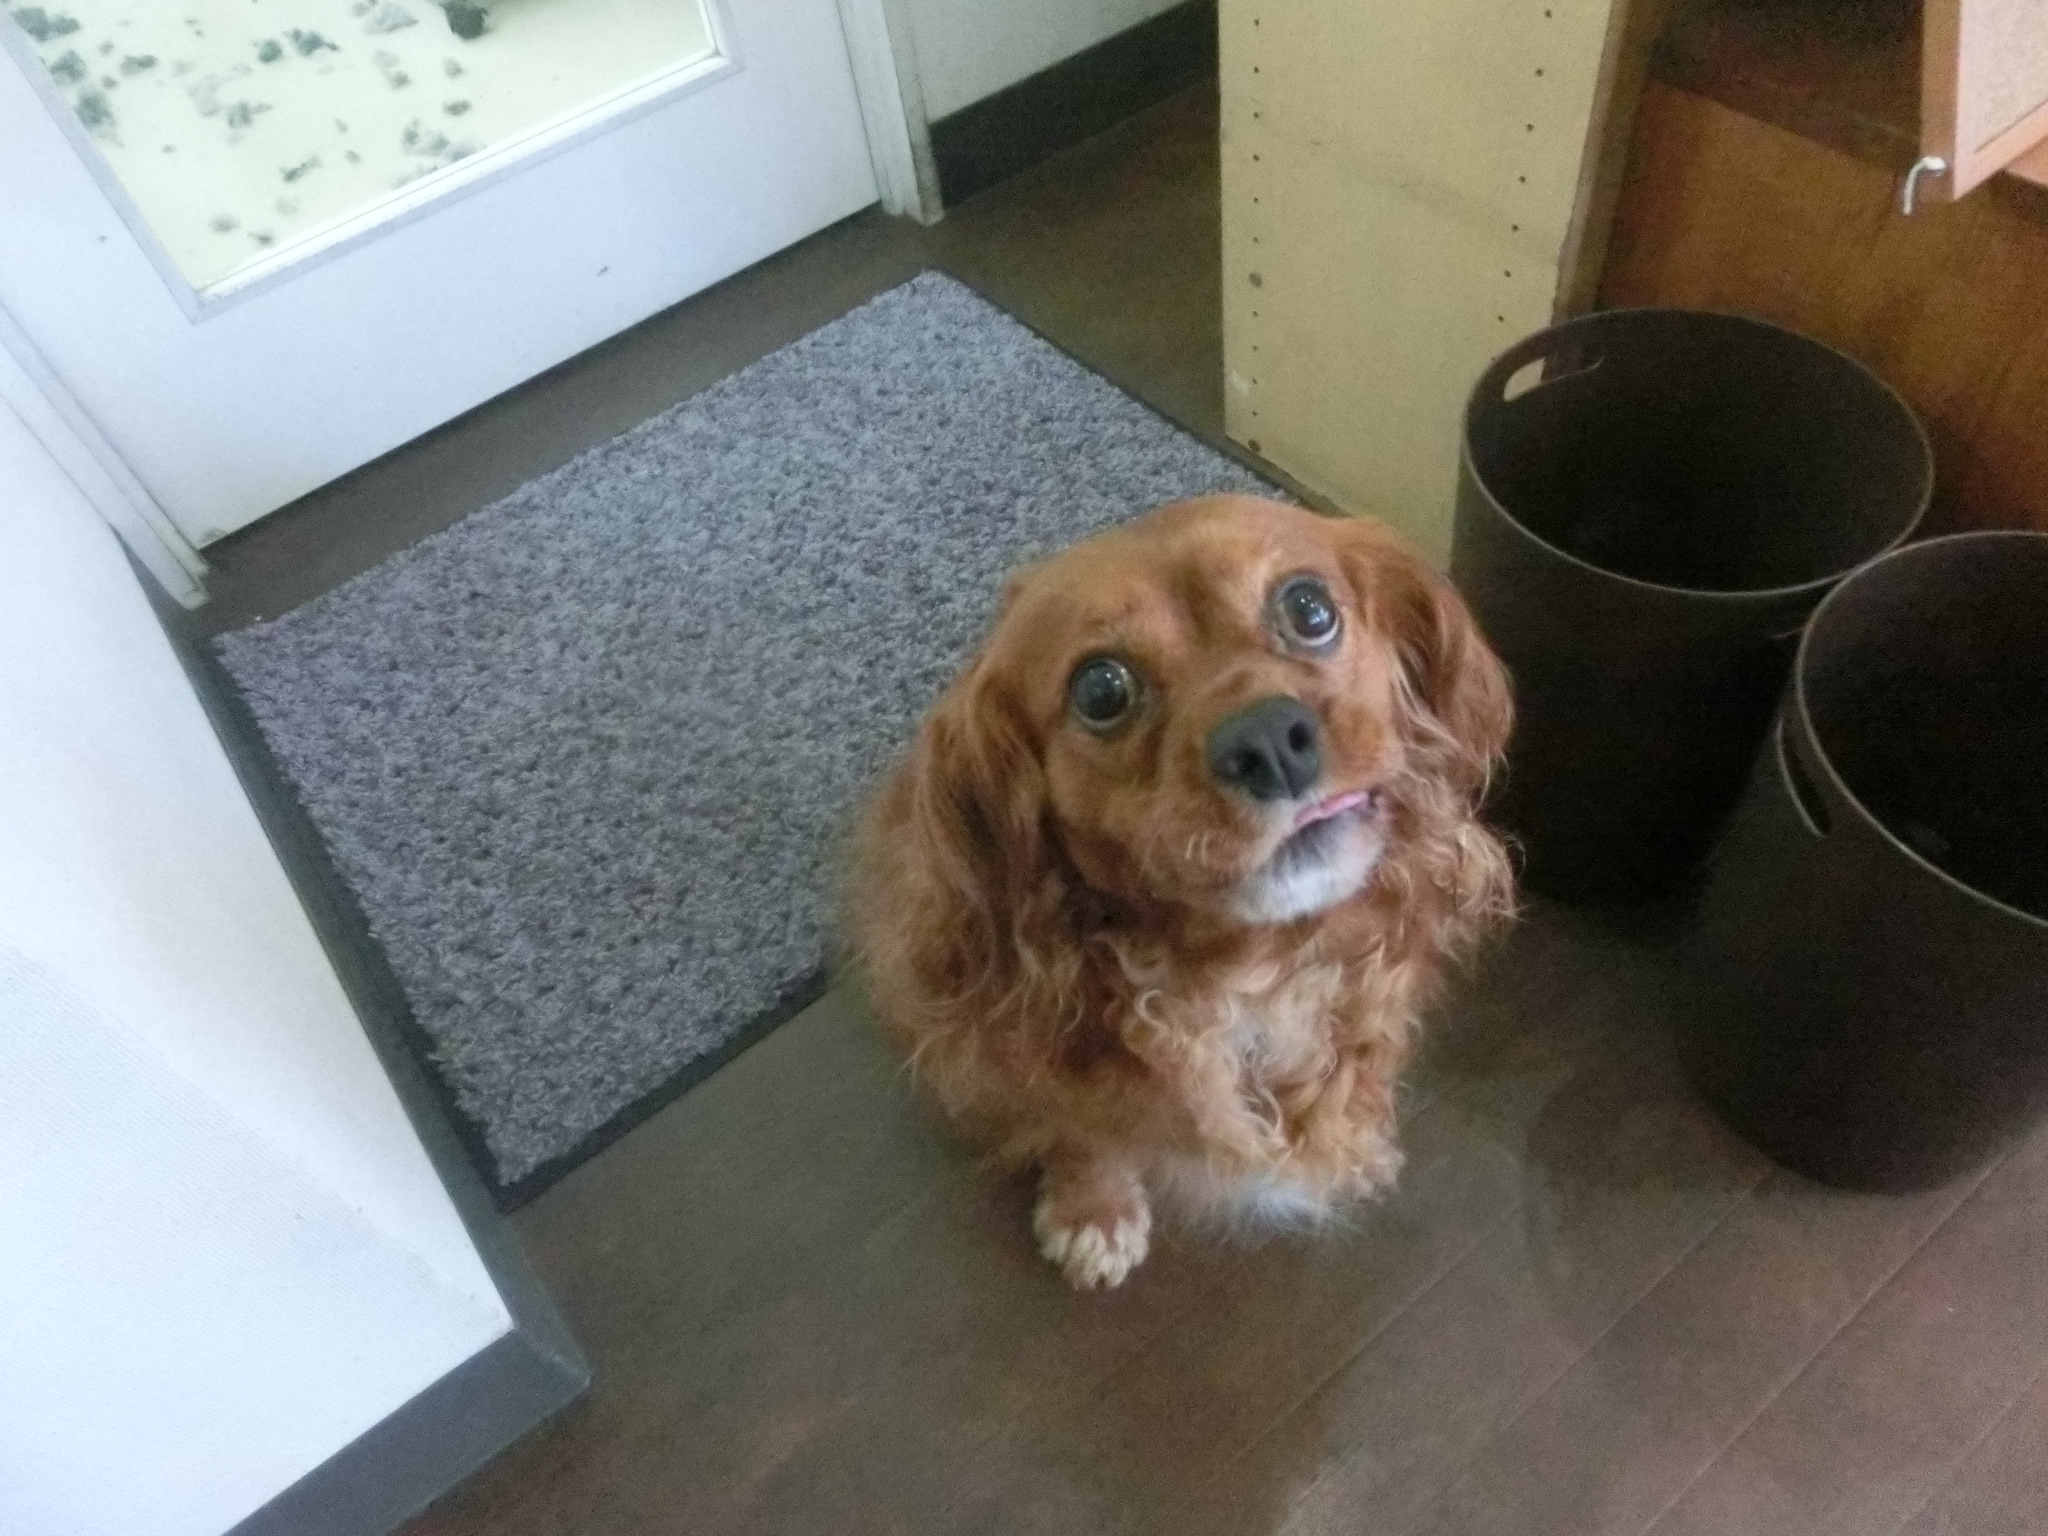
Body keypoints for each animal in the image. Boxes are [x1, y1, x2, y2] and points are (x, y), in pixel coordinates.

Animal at [850, 495, 1514, 1288]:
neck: (1253, 968)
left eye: (1309, 607)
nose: (1269, 739)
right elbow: (1084, 1134)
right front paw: (1094, 1211)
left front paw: (1355, 1128)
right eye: (1101, 689)